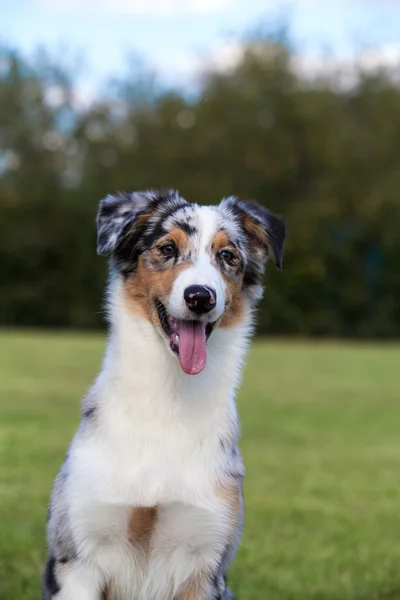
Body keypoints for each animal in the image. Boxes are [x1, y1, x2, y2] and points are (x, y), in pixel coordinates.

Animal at [43, 190, 284, 596]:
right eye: (167, 248)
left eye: (228, 255)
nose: (200, 297)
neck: (168, 398)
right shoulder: (77, 557)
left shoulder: (205, 561)